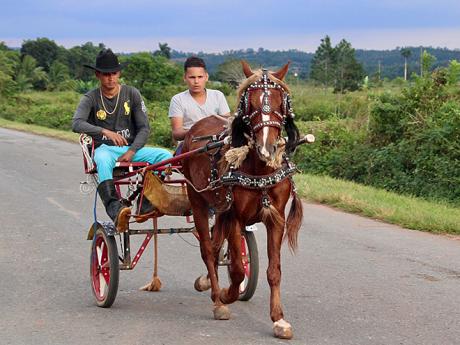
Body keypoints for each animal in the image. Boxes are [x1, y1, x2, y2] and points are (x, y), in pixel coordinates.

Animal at [181, 59, 304, 338]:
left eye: (281, 103)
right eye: (252, 104)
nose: (267, 148)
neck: (258, 168)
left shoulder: (276, 218)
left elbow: (274, 271)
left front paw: (279, 319)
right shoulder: (235, 217)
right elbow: (237, 270)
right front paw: (227, 295)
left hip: (219, 207)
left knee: (216, 246)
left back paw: (208, 282)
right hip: (198, 200)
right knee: (208, 249)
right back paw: (217, 298)